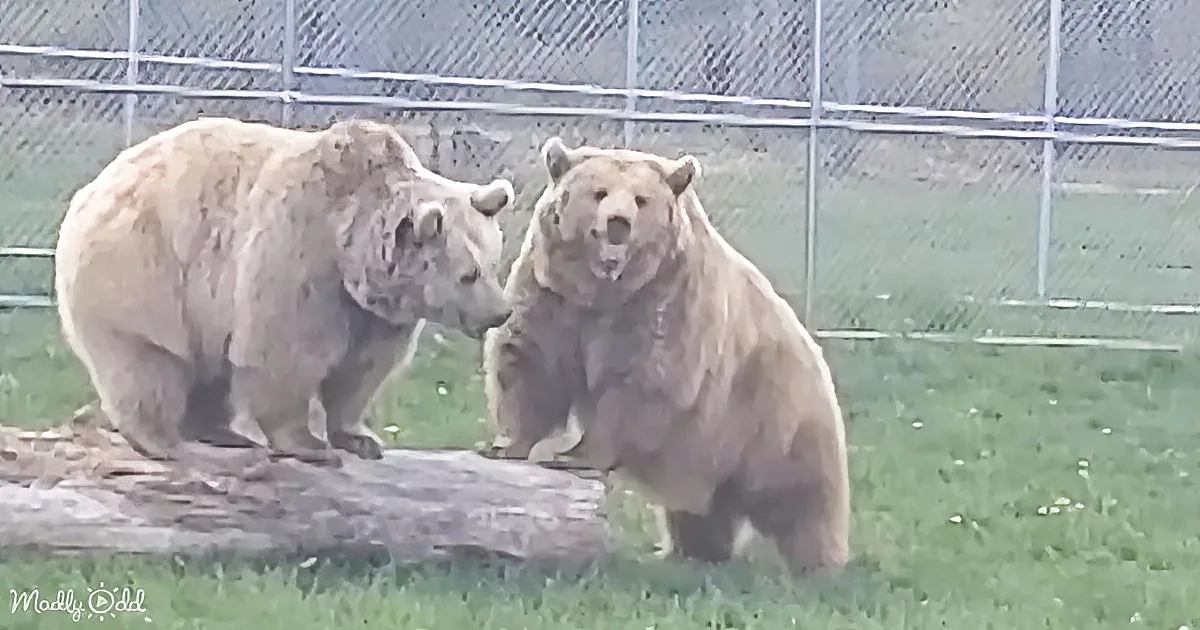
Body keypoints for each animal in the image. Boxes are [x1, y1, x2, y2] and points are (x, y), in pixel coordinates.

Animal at [54, 116, 515, 464]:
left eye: (494, 263)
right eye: (469, 274)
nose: (500, 312)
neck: (351, 255)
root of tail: (92, 189)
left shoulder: (374, 314)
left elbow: (362, 370)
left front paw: (359, 437)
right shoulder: (297, 257)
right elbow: (287, 355)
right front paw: (309, 443)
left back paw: (224, 433)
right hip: (146, 275)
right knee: (149, 363)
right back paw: (159, 438)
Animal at [482, 137, 850, 574]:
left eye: (641, 200)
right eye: (599, 192)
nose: (618, 223)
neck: (602, 292)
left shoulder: (663, 302)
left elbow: (640, 384)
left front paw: (571, 454)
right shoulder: (552, 296)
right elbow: (531, 363)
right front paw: (505, 444)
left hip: (776, 421)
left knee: (804, 502)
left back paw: (818, 564)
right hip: (707, 451)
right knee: (701, 514)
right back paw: (691, 552)